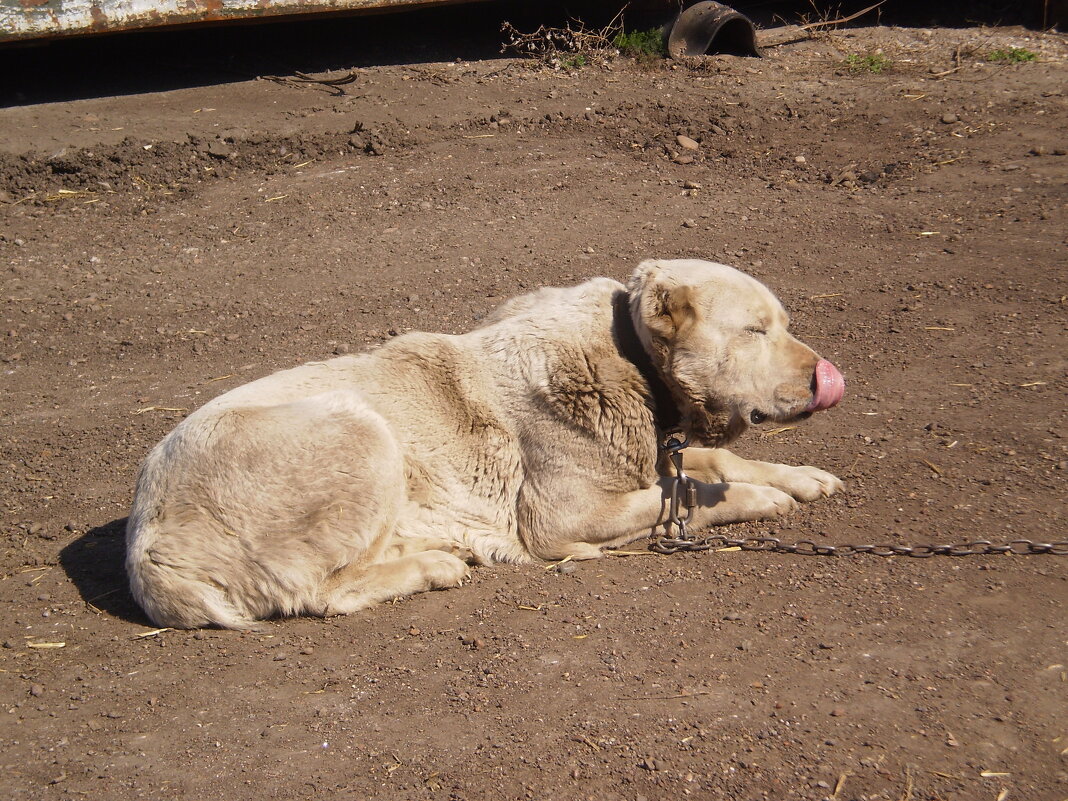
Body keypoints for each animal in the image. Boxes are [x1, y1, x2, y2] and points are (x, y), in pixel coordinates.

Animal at [124, 260, 841, 632]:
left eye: (783, 324)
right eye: (755, 330)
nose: (826, 376)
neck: (631, 359)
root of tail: (147, 546)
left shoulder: (654, 450)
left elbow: (709, 462)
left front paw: (798, 475)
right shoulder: (561, 519)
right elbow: (684, 492)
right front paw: (759, 497)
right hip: (360, 430)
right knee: (317, 593)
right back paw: (433, 567)